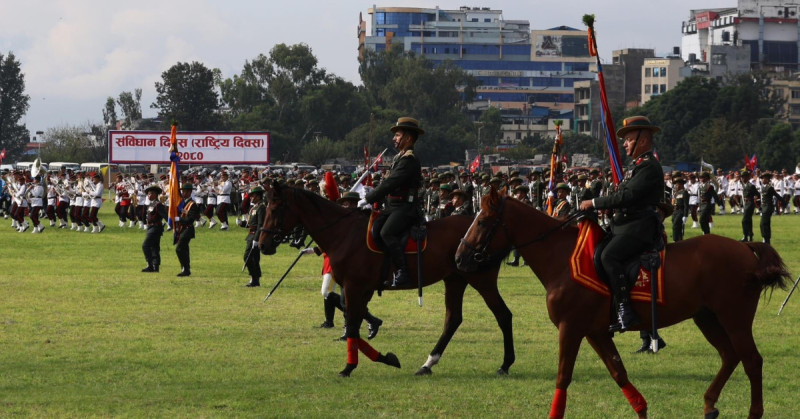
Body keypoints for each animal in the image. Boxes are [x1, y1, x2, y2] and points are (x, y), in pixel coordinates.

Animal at [260, 183, 516, 378]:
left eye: (276, 207)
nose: (262, 244)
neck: (343, 233)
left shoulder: (354, 287)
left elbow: (352, 325)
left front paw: (349, 367)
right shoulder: (361, 289)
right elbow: (354, 323)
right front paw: (385, 357)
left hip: (481, 280)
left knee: (503, 315)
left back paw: (505, 364)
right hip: (454, 280)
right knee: (453, 320)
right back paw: (428, 364)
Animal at [454, 189, 792, 419]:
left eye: (482, 221)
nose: (459, 258)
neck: (561, 258)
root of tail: (745, 249)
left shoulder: (570, 328)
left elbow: (563, 375)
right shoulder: (595, 332)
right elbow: (619, 372)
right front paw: (641, 409)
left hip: (735, 318)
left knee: (751, 360)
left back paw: (753, 412)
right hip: (707, 318)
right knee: (729, 356)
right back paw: (709, 403)